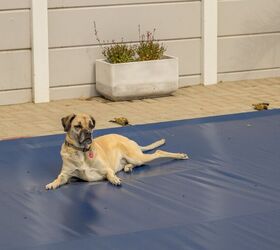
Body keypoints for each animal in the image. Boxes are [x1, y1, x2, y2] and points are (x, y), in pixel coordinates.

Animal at [46, 114, 189, 189]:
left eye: (91, 125)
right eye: (78, 126)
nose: (88, 134)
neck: (82, 152)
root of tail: (130, 140)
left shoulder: (106, 169)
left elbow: (110, 175)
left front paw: (114, 179)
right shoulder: (66, 174)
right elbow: (60, 178)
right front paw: (52, 183)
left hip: (137, 156)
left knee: (158, 152)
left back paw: (180, 155)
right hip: (135, 158)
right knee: (139, 163)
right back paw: (128, 167)